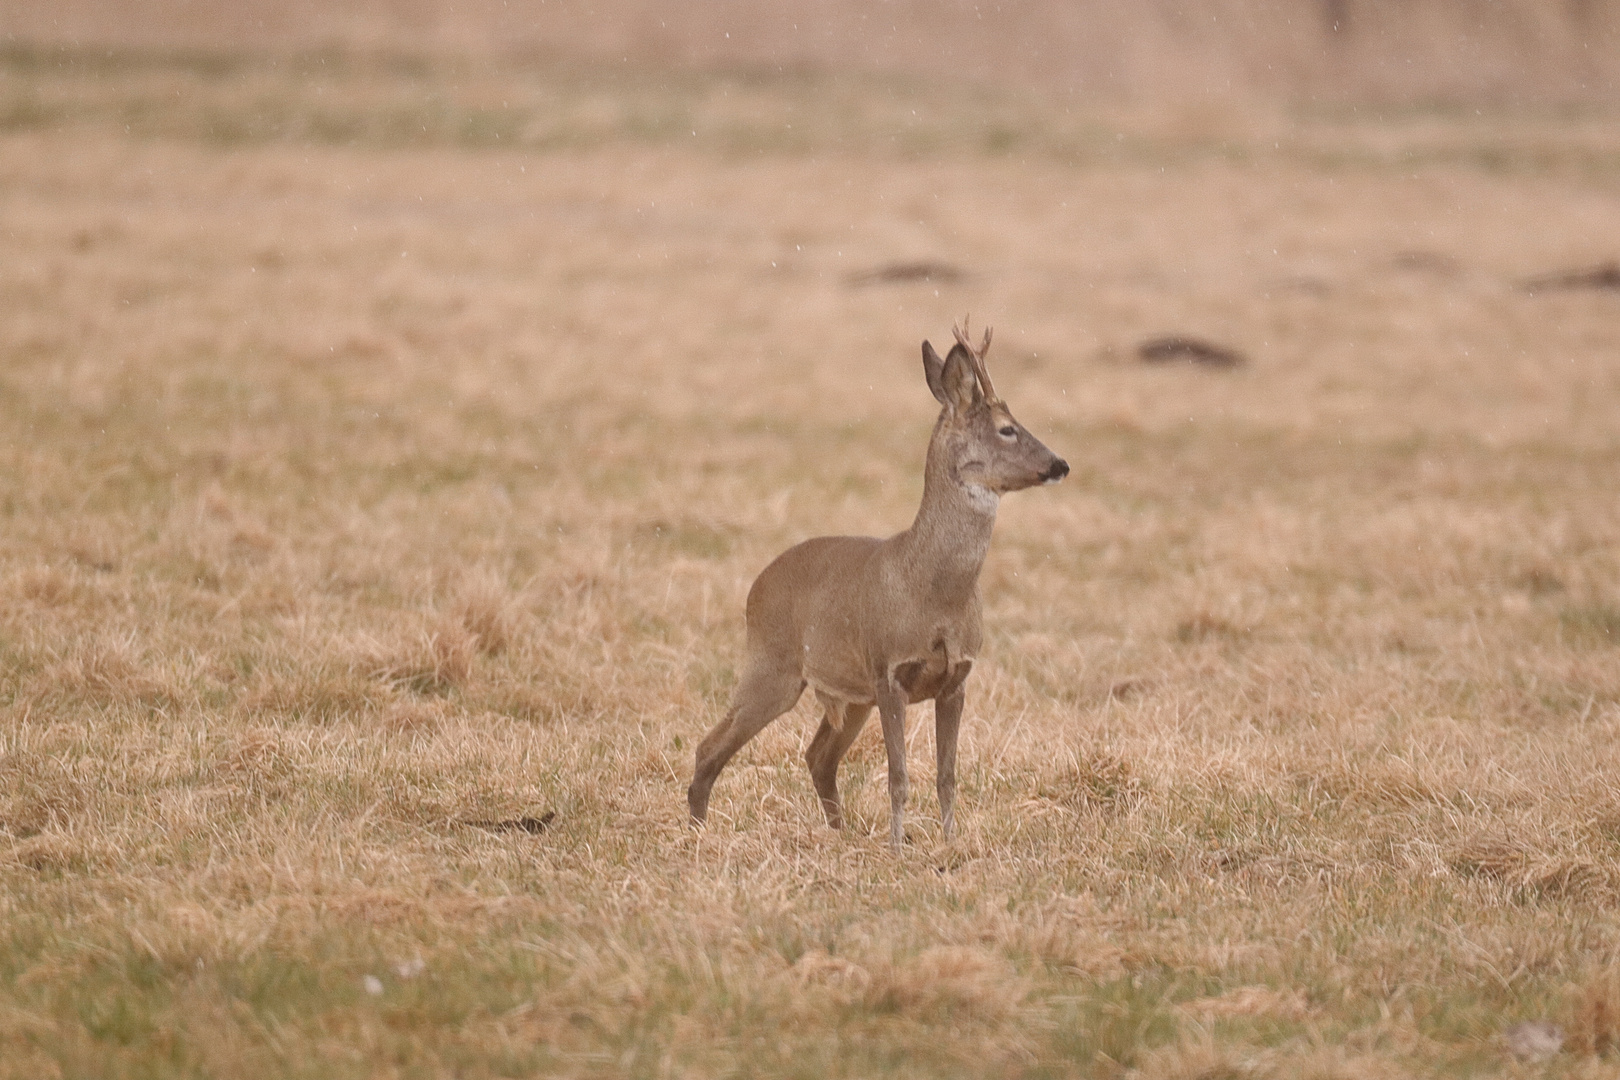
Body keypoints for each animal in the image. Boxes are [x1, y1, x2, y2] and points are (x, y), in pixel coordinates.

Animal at [690, 320, 1069, 841]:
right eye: (1007, 429)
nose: (1060, 464)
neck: (935, 591)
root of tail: (756, 585)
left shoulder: (957, 677)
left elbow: (947, 775)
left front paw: (950, 843)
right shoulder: (889, 669)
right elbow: (899, 775)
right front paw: (897, 847)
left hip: (850, 695)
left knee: (818, 756)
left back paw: (838, 833)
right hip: (774, 664)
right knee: (709, 747)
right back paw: (696, 832)